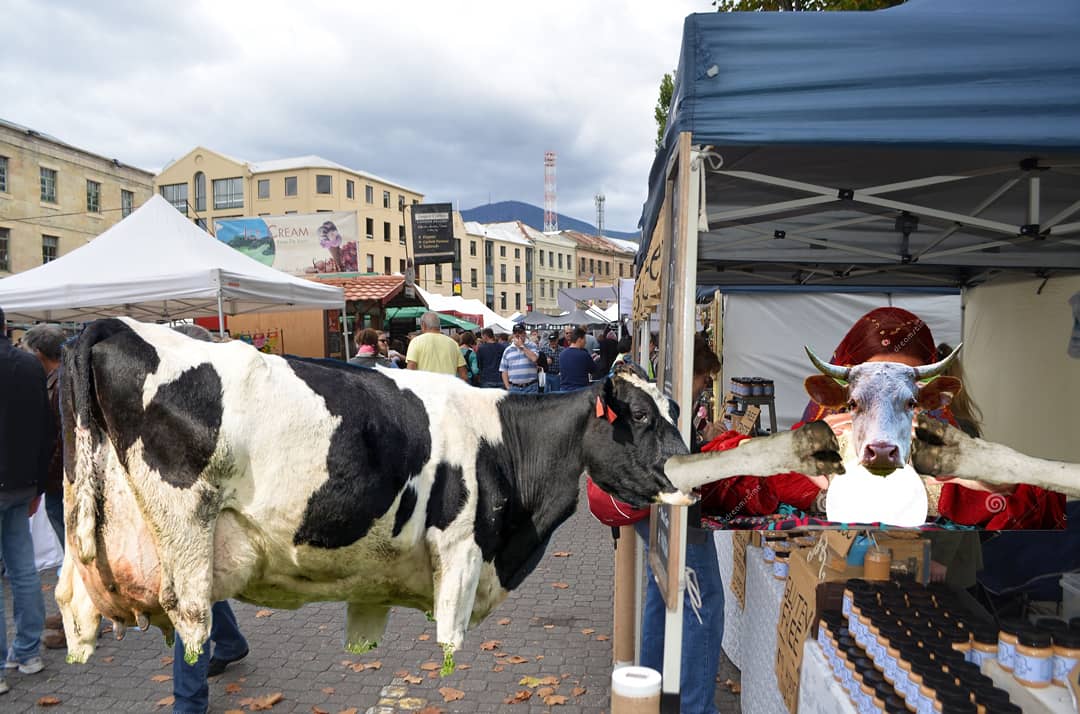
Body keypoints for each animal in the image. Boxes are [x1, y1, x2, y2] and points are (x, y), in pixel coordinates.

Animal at [54, 317, 842, 669]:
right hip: (186, 548)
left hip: (87, 549)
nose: (685, 475)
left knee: (72, 606)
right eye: (642, 419)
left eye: (680, 412)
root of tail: (114, 325)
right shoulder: (462, 553)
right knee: (191, 629)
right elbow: (448, 649)